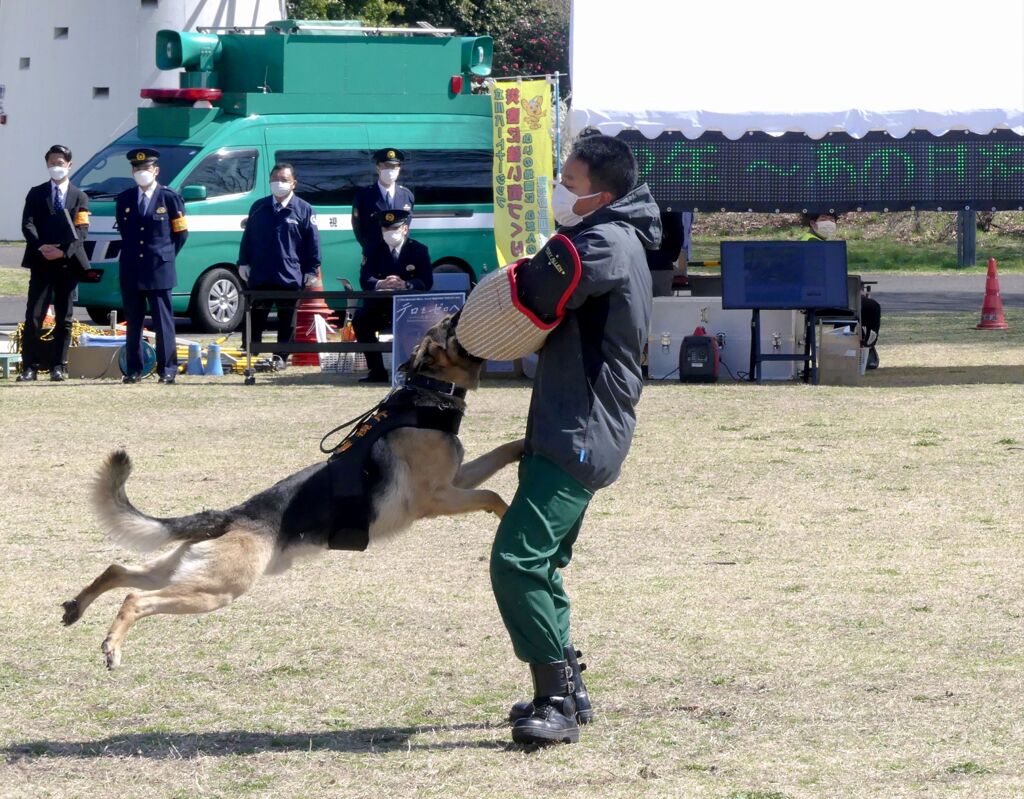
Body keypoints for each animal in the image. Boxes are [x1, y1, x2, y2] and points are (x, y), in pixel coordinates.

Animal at [61, 317, 520, 667]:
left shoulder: (459, 479)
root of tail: (233, 515)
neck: (426, 392)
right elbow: (492, 495)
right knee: (136, 597)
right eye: (453, 324)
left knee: (119, 570)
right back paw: (112, 646)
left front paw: (522, 449)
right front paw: (508, 514)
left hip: (185, 571)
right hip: (216, 588)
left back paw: (76, 608)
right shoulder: (438, 497)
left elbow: (499, 455)